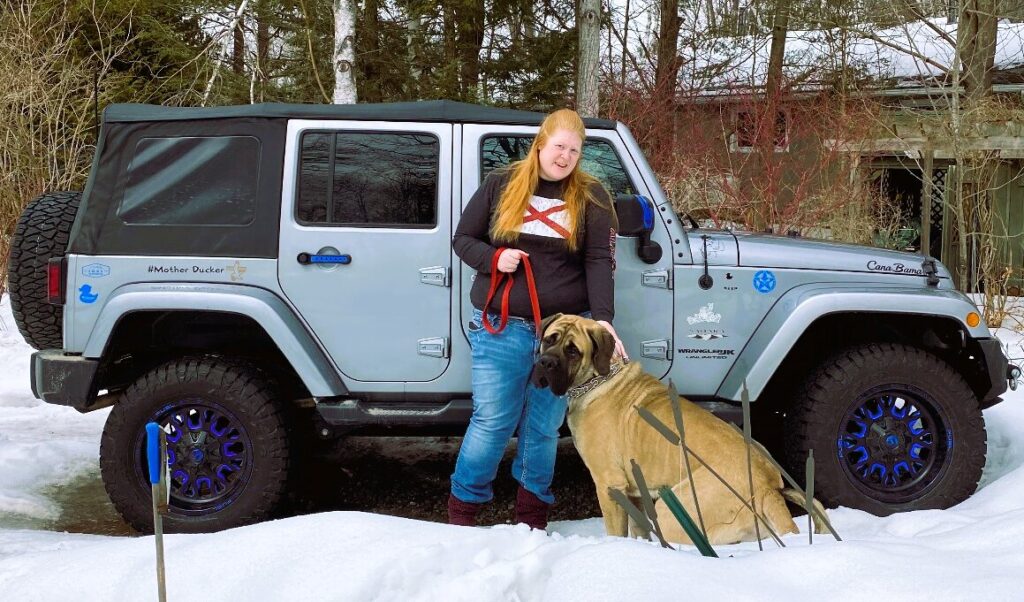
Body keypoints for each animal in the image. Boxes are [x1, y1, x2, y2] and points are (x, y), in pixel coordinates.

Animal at [532, 315, 819, 544]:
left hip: (675, 511)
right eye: (549, 340)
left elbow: (616, 532)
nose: (545, 363)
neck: (597, 379)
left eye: (573, 351)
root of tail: (766, 485)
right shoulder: (634, 492)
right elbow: (638, 529)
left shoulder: (609, 484)